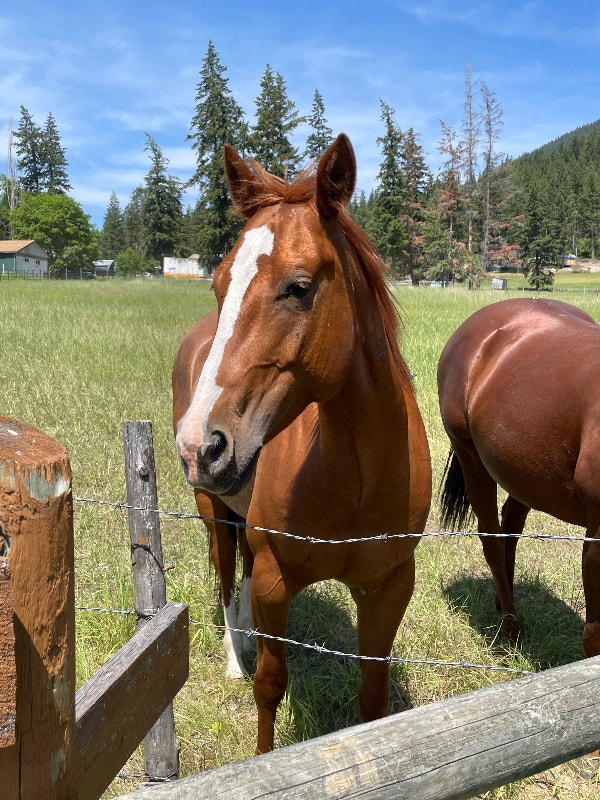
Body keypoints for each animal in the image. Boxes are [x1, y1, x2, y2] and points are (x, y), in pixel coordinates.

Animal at [173, 133, 431, 753]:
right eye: (219, 283)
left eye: (299, 286)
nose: (200, 445)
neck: (354, 476)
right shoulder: (275, 582)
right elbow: (270, 685)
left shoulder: (389, 587)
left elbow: (373, 698)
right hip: (212, 509)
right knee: (227, 581)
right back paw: (234, 656)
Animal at [438, 296, 600, 657]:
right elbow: (595, 636)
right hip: (470, 457)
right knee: (492, 538)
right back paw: (511, 629)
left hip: (523, 471)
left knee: (510, 525)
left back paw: (504, 605)